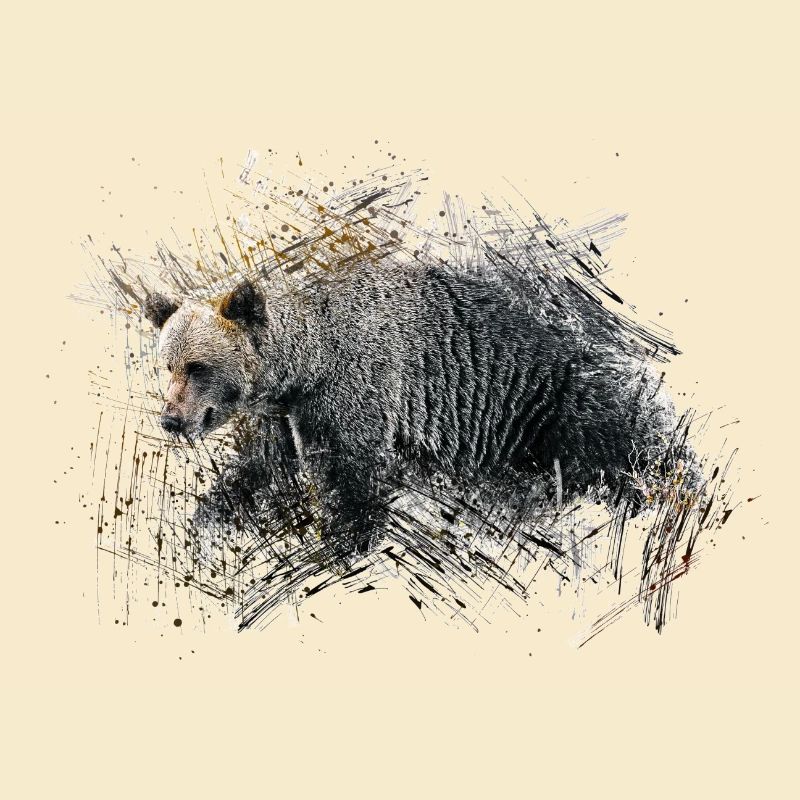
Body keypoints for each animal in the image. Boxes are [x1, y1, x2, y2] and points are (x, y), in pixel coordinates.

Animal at [144, 261, 693, 562]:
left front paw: (342, 544)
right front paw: (209, 515)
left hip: (547, 400)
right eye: (167, 365)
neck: (305, 365)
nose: (172, 420)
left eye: (197, 366)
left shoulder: (354, 386)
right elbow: (262, 465)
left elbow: (350, 473)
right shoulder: (282, 413)